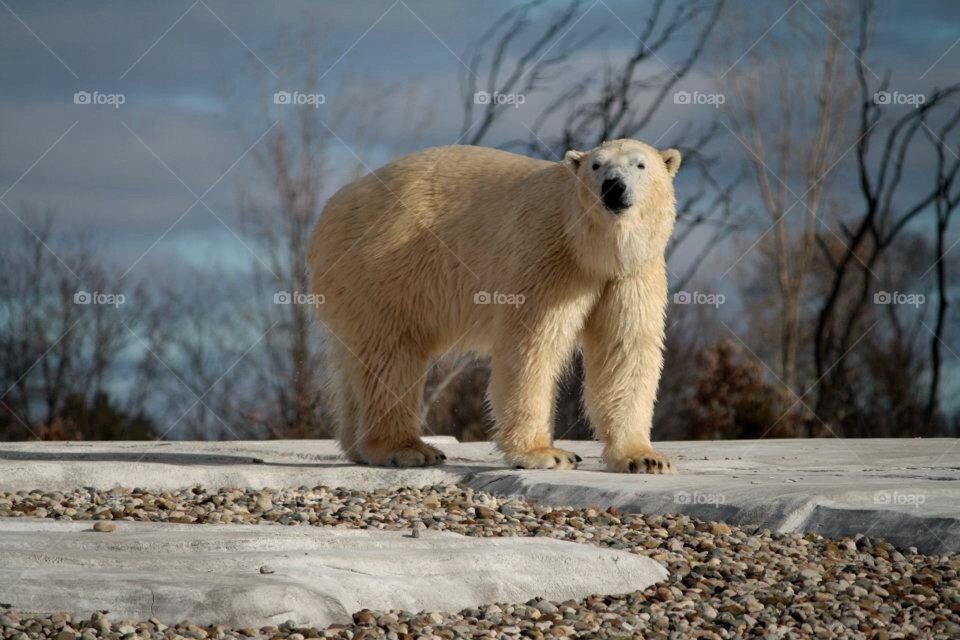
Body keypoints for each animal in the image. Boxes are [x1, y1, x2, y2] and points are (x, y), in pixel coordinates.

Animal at [308, 139, 680, 473]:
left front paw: (644, 458)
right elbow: (532, 347)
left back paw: (360, 446)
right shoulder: (546, 256)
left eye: (640, 164)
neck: (592, 250)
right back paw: (408, 448)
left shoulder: (631, 274)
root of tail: (331, 207)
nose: (613, 186)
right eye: (596, 165)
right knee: (393, 356)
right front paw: (545, 454)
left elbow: (625, 350)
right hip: (384, 267)